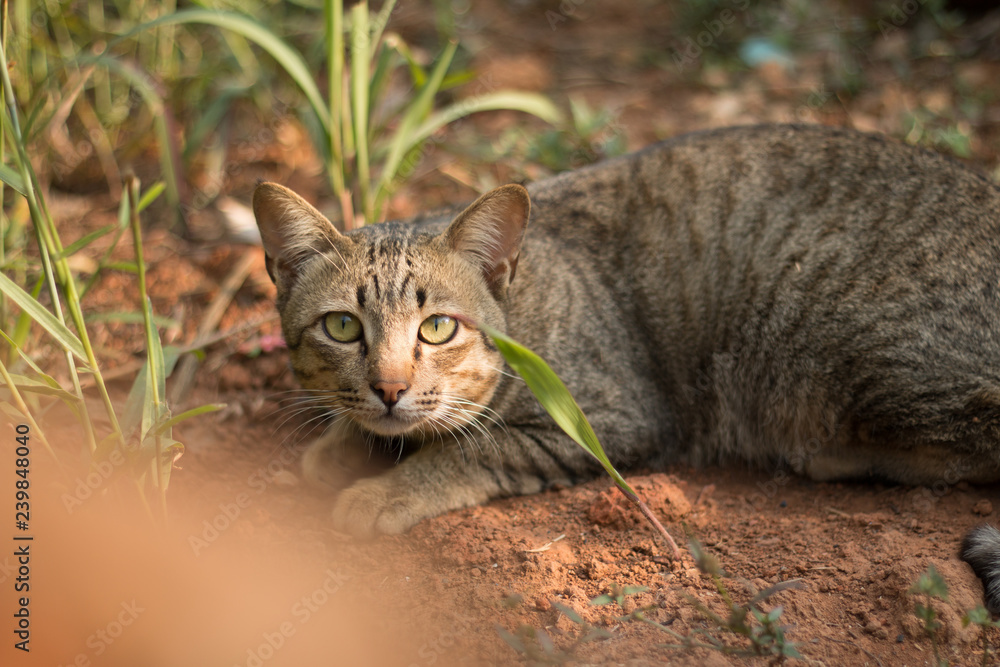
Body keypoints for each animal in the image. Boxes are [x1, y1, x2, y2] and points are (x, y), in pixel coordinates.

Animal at [252, 122, 1000, 596]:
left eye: (437, 328)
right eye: (342, 326)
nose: (388, 386)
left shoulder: (611, 419)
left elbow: (470, 449)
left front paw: (384, 488)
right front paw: (344, 443)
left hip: (852, 354)